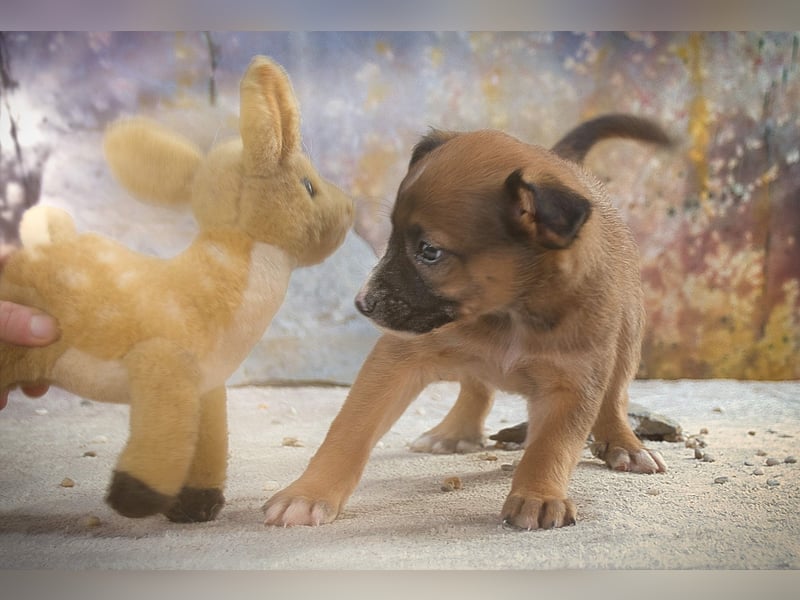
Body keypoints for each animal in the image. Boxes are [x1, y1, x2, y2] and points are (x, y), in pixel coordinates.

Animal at [264, 114, 672, 530]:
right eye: (393, 236)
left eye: (429, 251)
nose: (362, 303)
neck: (510, 314)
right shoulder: (397, 359)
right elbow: (350, 429)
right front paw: (309, 493)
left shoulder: (573, 381)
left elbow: (552, 446)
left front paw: (539, 496)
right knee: (476, 386)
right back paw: (453, 431)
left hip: (628, 338)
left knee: (615, 399)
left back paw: (625, 445)